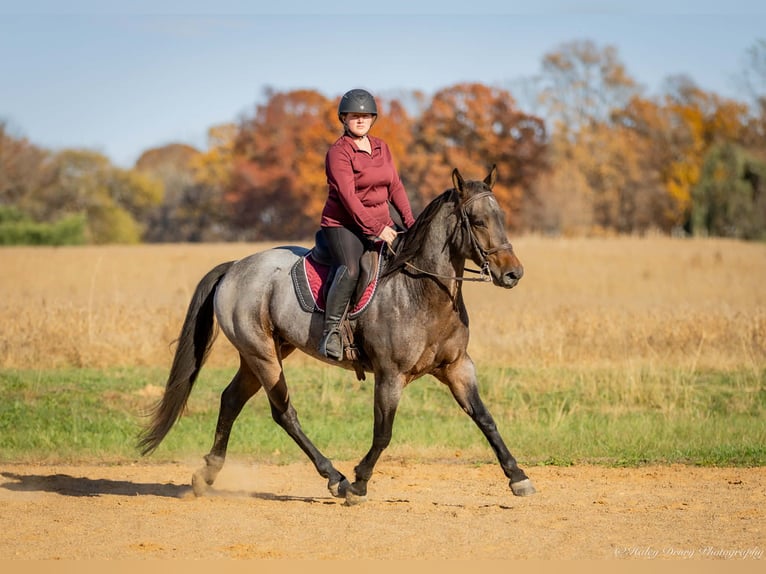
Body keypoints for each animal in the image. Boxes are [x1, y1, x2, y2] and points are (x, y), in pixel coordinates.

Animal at [138, 165, 536, 504]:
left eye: (501, 218)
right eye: (478, 221)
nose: (514, 274)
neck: (421, 290)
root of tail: (236, 267)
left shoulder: (457, 368)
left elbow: (485, 419)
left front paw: (518, 477)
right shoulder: (390, 376)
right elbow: (383, 432)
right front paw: (359, 482)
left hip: (262, 354)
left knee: (232, 400)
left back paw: (206, 475)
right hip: (262, 355)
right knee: (284, 413)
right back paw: (335, 477)